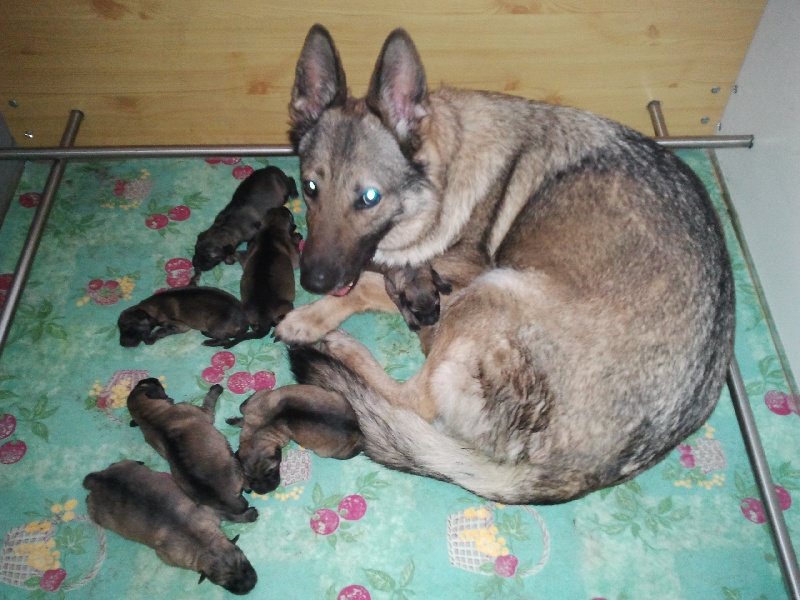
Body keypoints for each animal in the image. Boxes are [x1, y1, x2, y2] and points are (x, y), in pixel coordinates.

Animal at [82, 460, 256, 596]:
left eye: (243, 562)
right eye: (223, 582)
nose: (251, 585)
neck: (205, 545)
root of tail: (99, 480)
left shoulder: (209, 512)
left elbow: (229, 515)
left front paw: (248, 515)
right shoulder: (169, 556)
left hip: (124, 466)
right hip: (99, 516)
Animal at [126, 382, 256, 524]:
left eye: (140, 384)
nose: (152, 379)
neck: (151, 417)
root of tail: (229, 500)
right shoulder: (203, 412)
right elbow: (208, 400)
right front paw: (216, 389)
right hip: (234, 462)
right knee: (246, 484)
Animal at [223, 206, 302, 350]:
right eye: (290, 215)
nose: (284, 206)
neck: (271, 228)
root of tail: (264, 315)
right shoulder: (292, 254)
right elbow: (296, 259)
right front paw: (296, 237)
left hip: (248, 312)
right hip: (287, 305)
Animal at [225, 386, 362, 494]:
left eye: (271, 471)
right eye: (249, 477)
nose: (265, 491)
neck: (256, 432)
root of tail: (356, 430)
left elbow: (242, 408)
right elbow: (242, 410)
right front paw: (234, 420)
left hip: (323, 452)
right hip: (336, 396)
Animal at [276, 23, 736, 504]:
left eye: (369, 198)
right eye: (310, 188)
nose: (313, 279)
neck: (445, 175)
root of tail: (569, 472)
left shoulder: (452, 280)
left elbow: (367, 282)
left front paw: (307, 319)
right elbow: (375, 279)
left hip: (493, 290)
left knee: (410, 400)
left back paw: (341, 347)